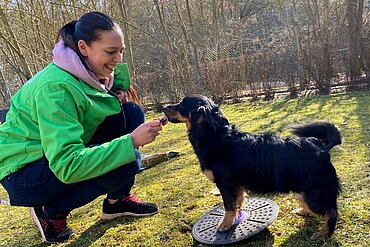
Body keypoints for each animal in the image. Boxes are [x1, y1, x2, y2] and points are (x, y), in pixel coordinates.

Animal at [163, 94, 342, 239]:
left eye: (181, 104)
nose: (163, 108)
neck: (216, 135)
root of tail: (321, 148)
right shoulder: (236, 185)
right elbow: (238, 203)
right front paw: (235, 218)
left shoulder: (225, 184)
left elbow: (228, 206)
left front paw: (225, 224)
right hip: (302, 192)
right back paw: (304, 211)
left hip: (313, 194)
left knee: (331, 211)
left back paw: (324, 233)